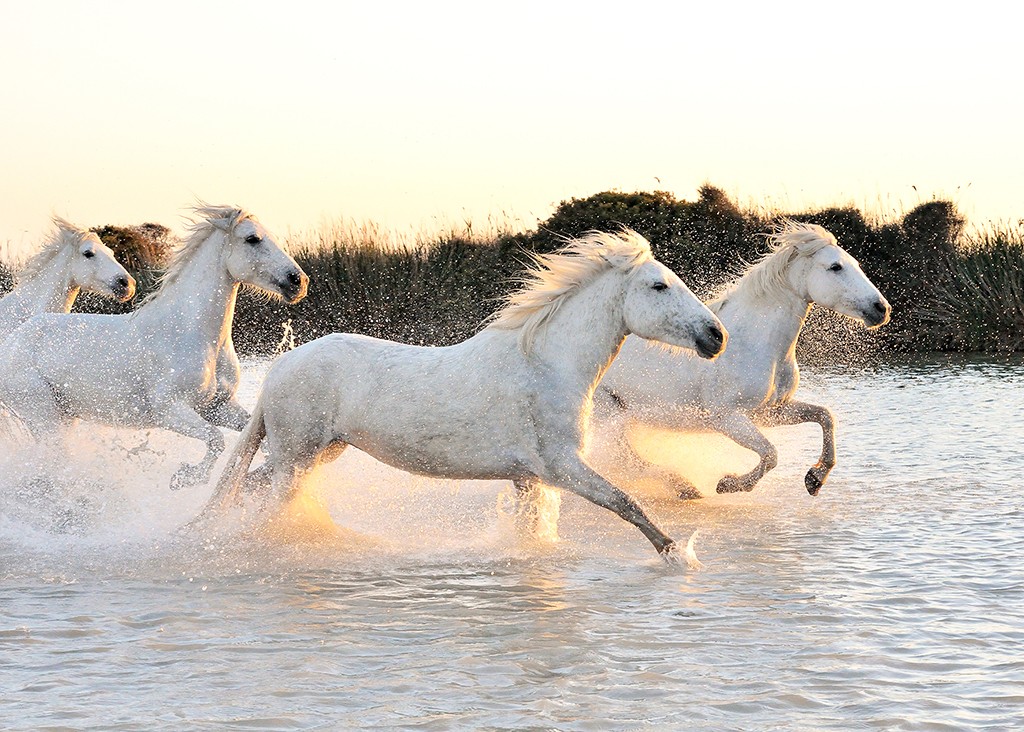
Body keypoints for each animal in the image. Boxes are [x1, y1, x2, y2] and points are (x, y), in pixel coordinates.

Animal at [201, 232, 729, 556]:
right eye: (659, 286)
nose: (716, 336)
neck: (546, 365)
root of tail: (280, 368)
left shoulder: (529, 477)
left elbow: (536, 529)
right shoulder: (562, 466)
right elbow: (626, 503)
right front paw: (678, 555)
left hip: (318, 451)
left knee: (249, 487)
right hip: (298, 454)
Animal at [593, 220, 888, 497]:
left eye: (856, 264)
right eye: (835, 267)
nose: (881, 309)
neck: (757, 344)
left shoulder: (770, 411)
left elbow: (825, 416)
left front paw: (815, 479)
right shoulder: (729, 418)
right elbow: (770, 454)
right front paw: (730, 484)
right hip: (607, 413)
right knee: (625, 459)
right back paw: (685, 487)